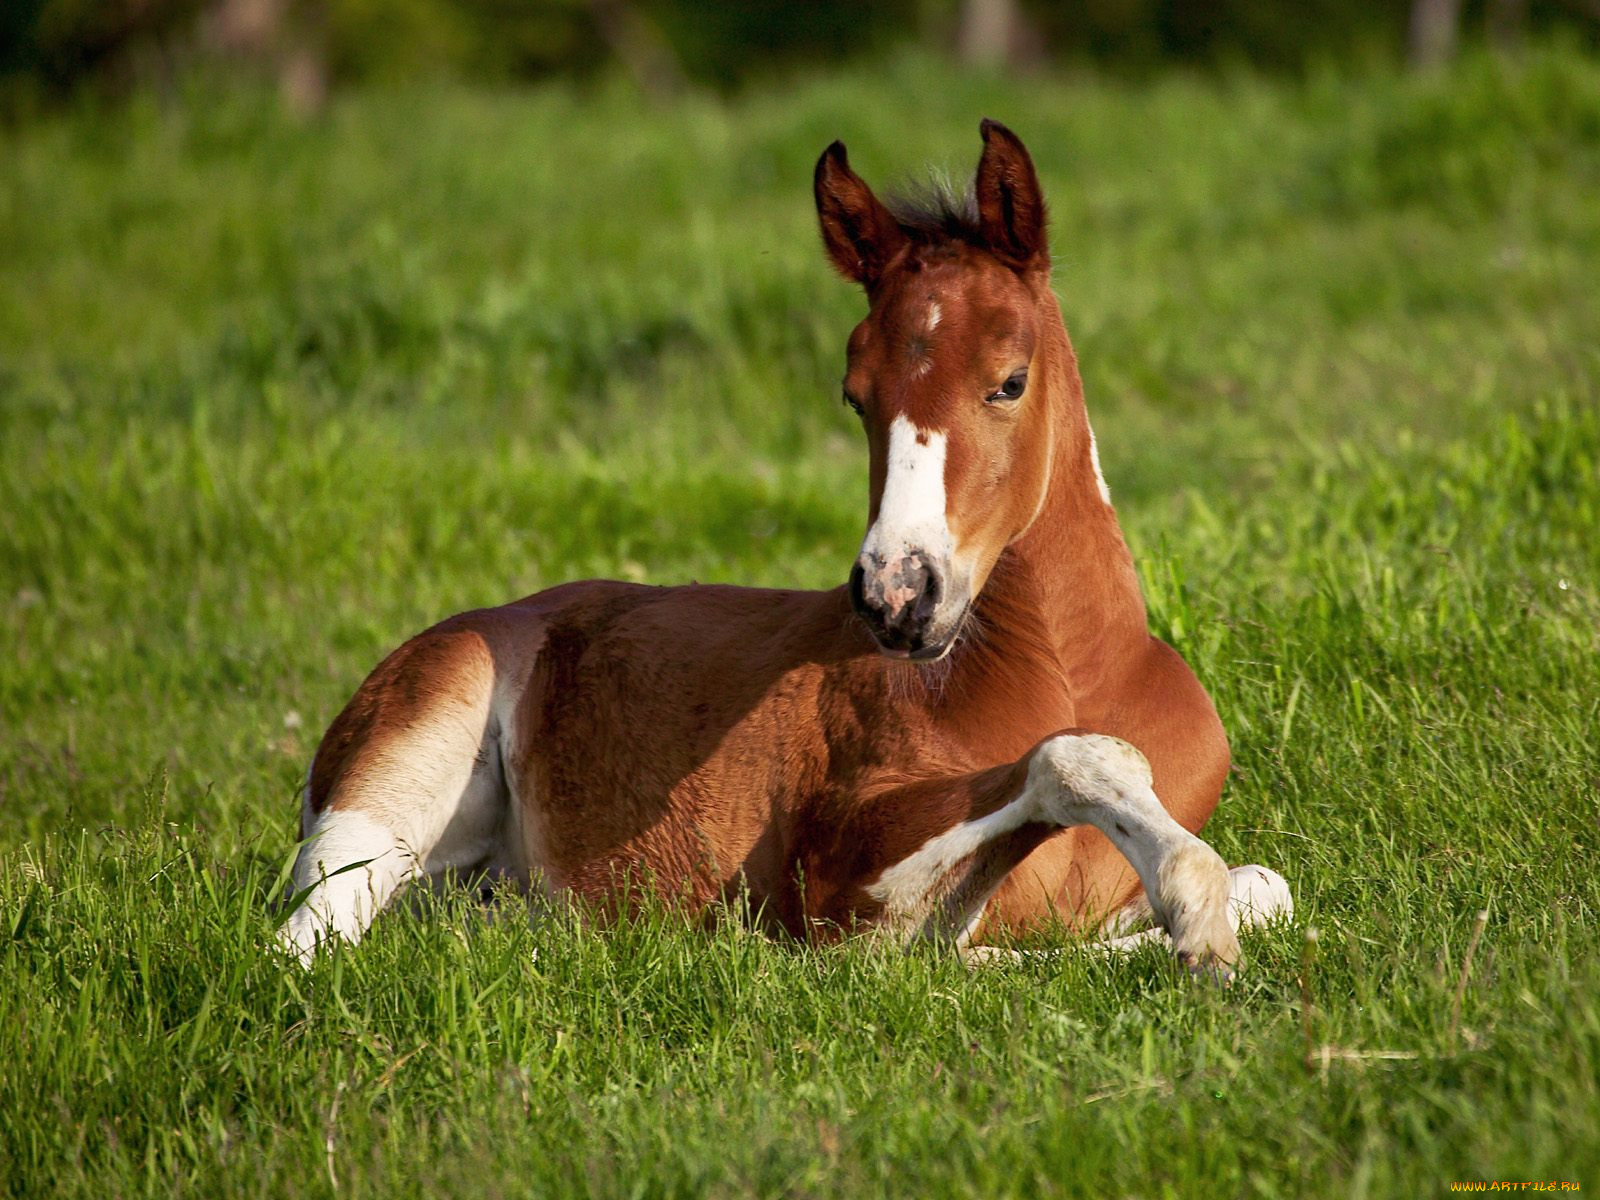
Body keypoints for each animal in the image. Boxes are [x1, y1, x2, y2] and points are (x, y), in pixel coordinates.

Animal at [278, 119, 1292, 975]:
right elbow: (1063, 775)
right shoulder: (835, 877)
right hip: (395, 776)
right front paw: (1193, 918)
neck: (1073, 673)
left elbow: (1268, 887)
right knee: (305, 940)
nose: (896, 595)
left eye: (1009, 380)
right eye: (855, 395)